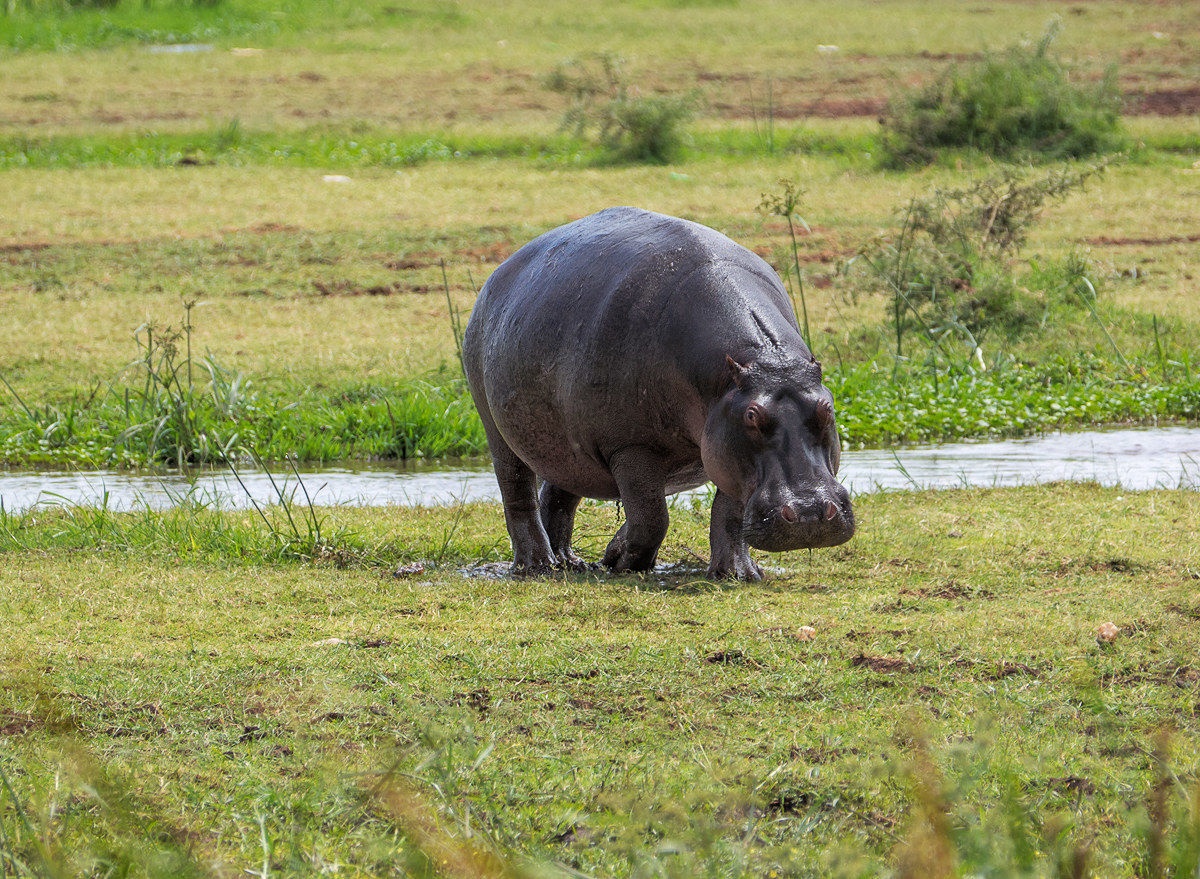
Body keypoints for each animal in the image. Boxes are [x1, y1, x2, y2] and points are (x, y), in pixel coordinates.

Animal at [461, 206, 854, 580]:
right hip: (496, 428)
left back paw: (569, 563)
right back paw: (537, 566)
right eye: (752, 416)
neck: (766, 362)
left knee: (560, 492)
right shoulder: (630, 444)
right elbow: (651, 514)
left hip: (567, 442)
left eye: (827, 409)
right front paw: (621, 560)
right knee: (518, 493)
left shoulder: (726, 450)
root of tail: (499, 272)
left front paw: (737, 574)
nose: (809, 514)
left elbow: (729, 514)